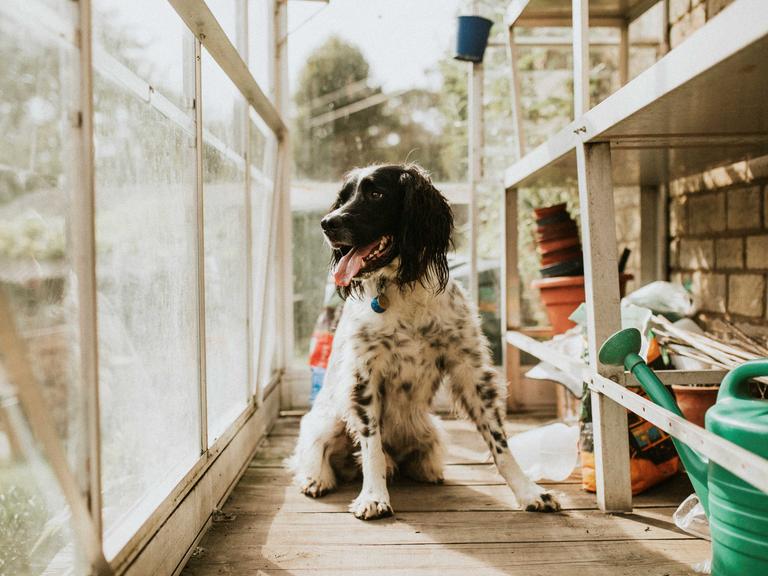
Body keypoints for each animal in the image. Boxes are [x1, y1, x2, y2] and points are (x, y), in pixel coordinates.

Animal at [286, 164, 560, 520]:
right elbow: (371, 446)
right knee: (320, 452)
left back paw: (426, 471)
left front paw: (529, 491)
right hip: (330, 417)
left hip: (430, 429)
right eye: (343, 197)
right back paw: (317, 479)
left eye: (376, 193)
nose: (327, 222)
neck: (403, 289)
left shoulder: (470, 371)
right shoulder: (363, 377)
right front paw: (373, 496)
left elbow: (499, 442)